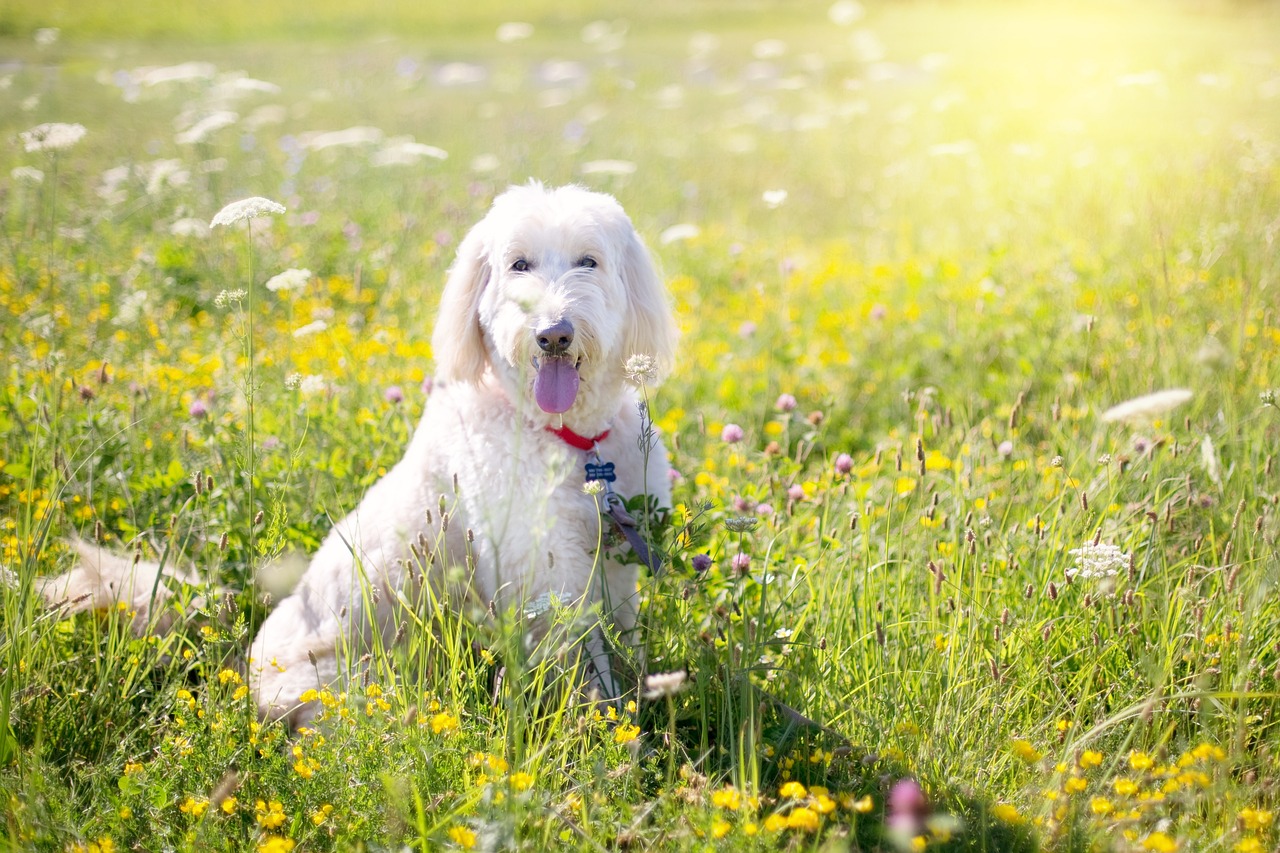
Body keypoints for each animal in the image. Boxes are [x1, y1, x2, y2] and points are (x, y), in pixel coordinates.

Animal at [40, 183, 680, 722]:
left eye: (588, 261)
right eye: (518, 264)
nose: (552, 334)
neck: (568, 439)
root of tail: (240, 663)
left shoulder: (614, 565)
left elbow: (622, 641)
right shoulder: (549, 577)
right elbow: (583, 668)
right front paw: (605, 732)